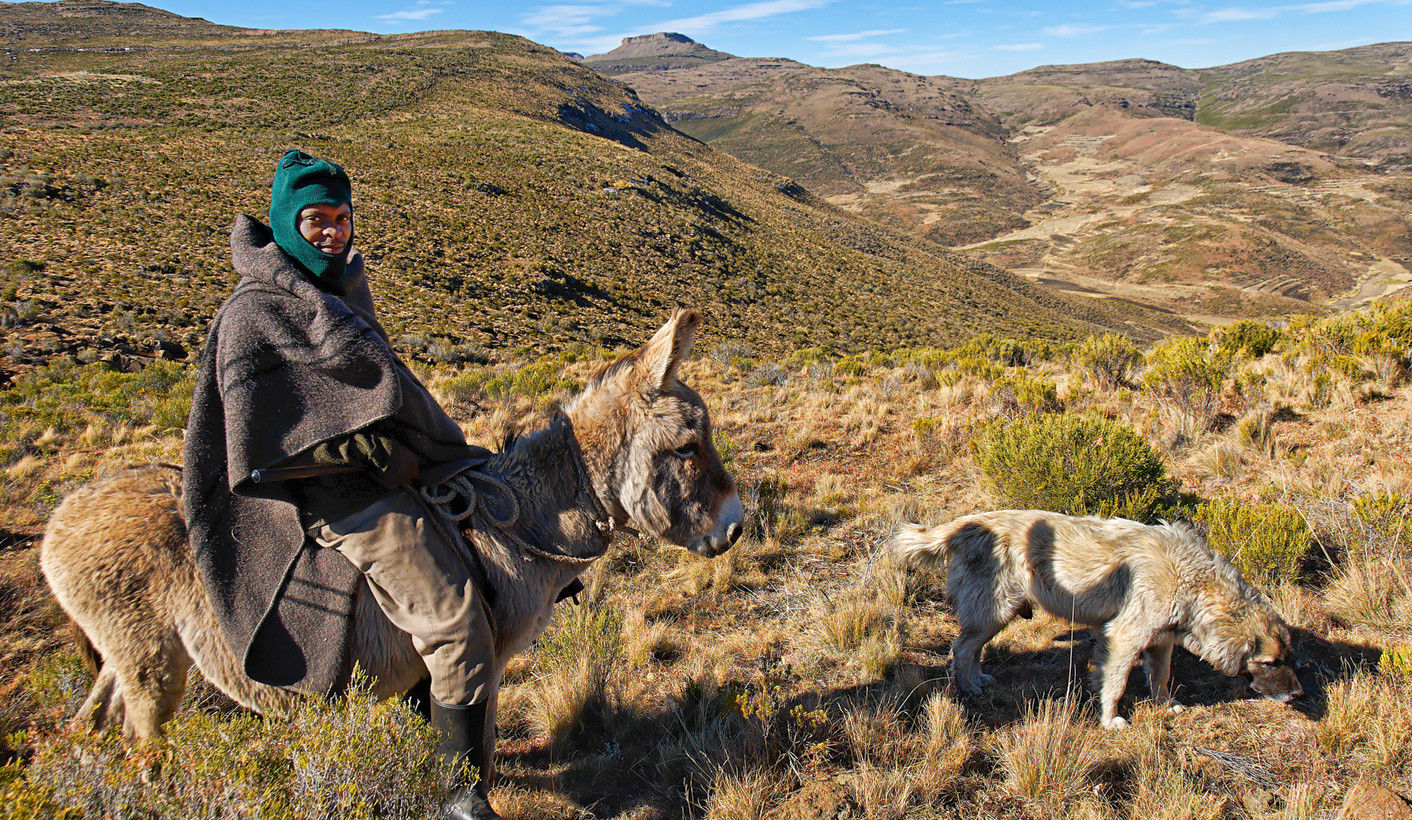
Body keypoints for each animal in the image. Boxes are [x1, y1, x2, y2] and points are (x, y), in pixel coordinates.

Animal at [892, 508, 1299, 728]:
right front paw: (1110, 720)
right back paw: (968, 687)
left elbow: (1162, 677)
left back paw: (978, 679)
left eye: (1289, 658)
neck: (1194, 580)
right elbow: (1114, 683)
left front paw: (1165, 705)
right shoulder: (1124, 638)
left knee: (972, 650)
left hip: (993, 614)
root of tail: (968, 522)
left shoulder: (1162, 640)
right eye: (1270, 662)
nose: (1298, 694)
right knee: (961, 649)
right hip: (995, 610)